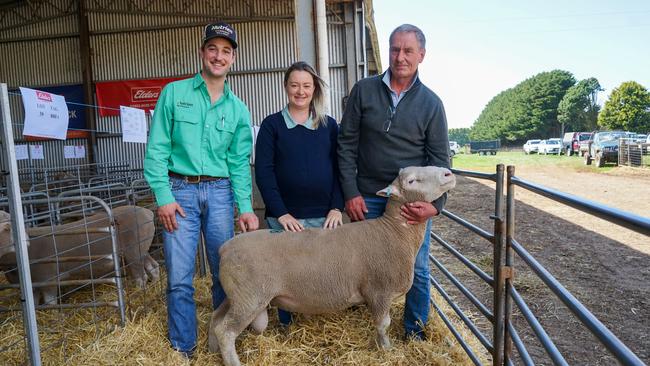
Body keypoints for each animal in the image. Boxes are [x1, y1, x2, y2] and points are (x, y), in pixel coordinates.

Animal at [209, 166, 456, 366]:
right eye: (412, 181)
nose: (448, 173)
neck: (394, 232)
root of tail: (225, 248)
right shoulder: (379, 292)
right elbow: (383, 324)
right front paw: (386, 349)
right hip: (250, 298)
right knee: (225, 331)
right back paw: (232, 361)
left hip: (237, 295)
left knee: (216, 318)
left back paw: (212, 351)